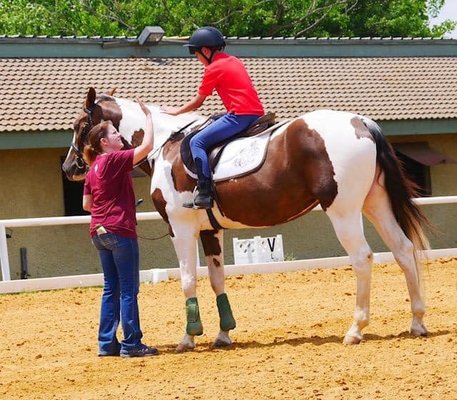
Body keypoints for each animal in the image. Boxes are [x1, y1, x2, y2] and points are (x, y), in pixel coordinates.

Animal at [62, 87, 430, 350]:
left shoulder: (180, 229)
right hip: (375, 203)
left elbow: (188, 279)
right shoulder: (210, 231)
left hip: (344, 211)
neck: (166, 145)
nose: (68, 168)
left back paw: (355, 329)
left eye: (80, 126)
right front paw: (223, 335)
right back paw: (417, 321)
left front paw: (189, 338)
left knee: (363, 258)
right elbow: (217, 279)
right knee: (403, 250)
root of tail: (360, 122)